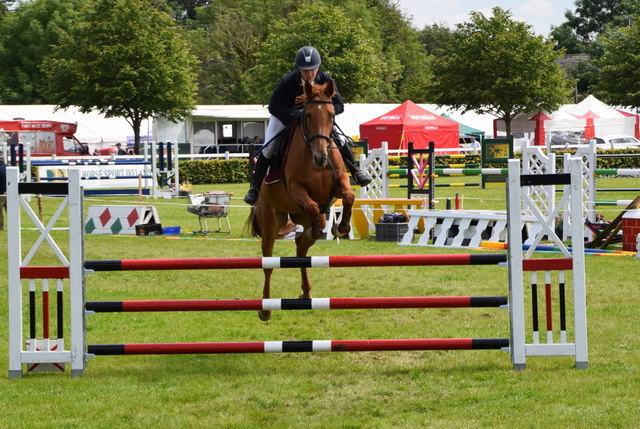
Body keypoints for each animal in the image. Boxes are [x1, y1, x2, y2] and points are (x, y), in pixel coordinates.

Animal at [249, 78, 356, 320]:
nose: (321, 157)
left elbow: (349, 195)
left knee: (301, 248)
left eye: (331, 115)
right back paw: (265, 309)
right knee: (268, 263)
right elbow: (313, 205)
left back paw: (306, 292)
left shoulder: (340, 182)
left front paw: (343, 226)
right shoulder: (296, 189)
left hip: (301, 218)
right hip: (271, 222)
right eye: (306, 115)